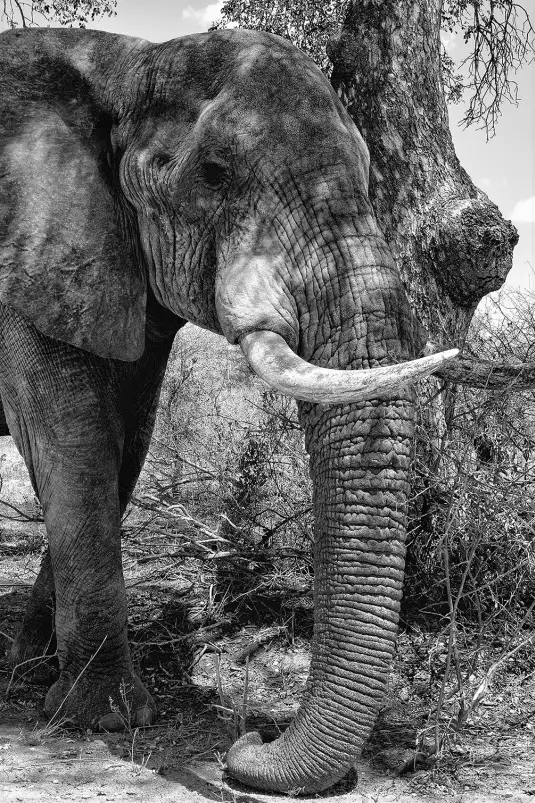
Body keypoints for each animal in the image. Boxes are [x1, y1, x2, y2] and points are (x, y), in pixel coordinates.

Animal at [0, 26, 460, 796]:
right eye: (213, 174)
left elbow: (126, 436)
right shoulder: (26, 244)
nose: (249, 738)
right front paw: (101, 717)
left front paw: (37, 671)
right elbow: (72, 430)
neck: (126, 63)